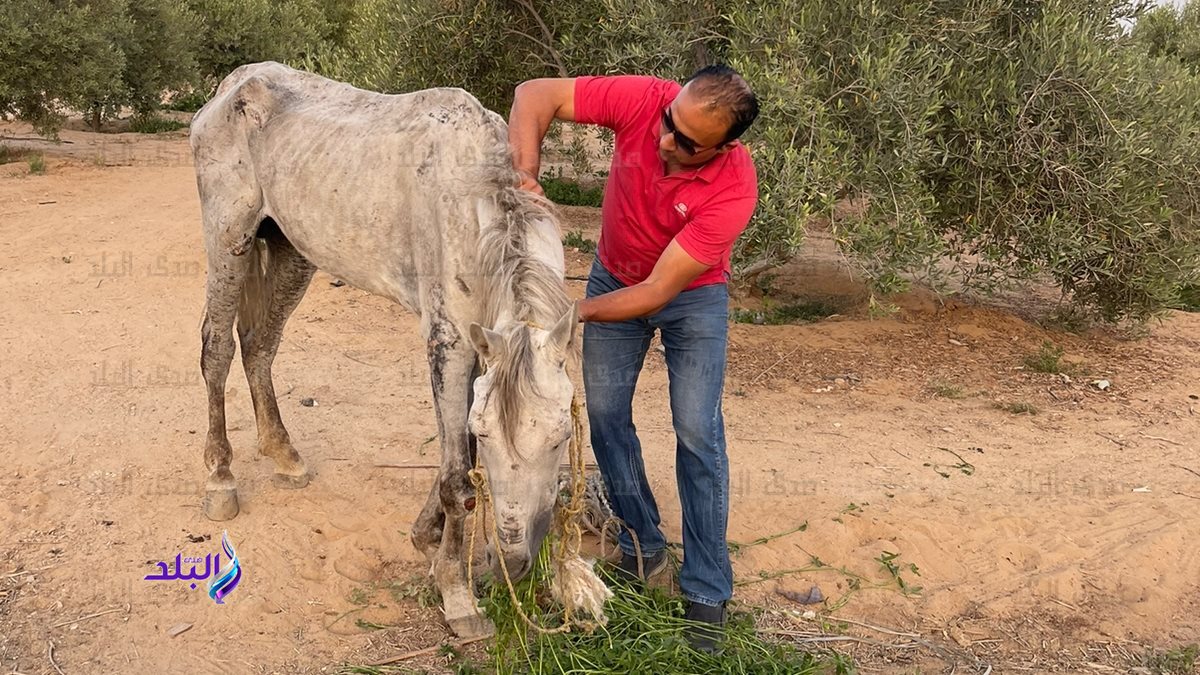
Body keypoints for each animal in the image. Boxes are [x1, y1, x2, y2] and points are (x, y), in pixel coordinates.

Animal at [189, 60, 578, 634]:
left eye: (560, 438)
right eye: (491, 435)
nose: (509, 560)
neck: (473, 205)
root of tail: (232, 85)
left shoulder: (477, 351)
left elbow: (454, 453)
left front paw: (427, 537)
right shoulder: (449, 343)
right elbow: (459, 478)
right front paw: (457, 593)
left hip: (290, 249)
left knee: (259, 345)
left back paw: (284, 455)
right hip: (227, 241)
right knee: (216, 352)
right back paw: (220, 479)